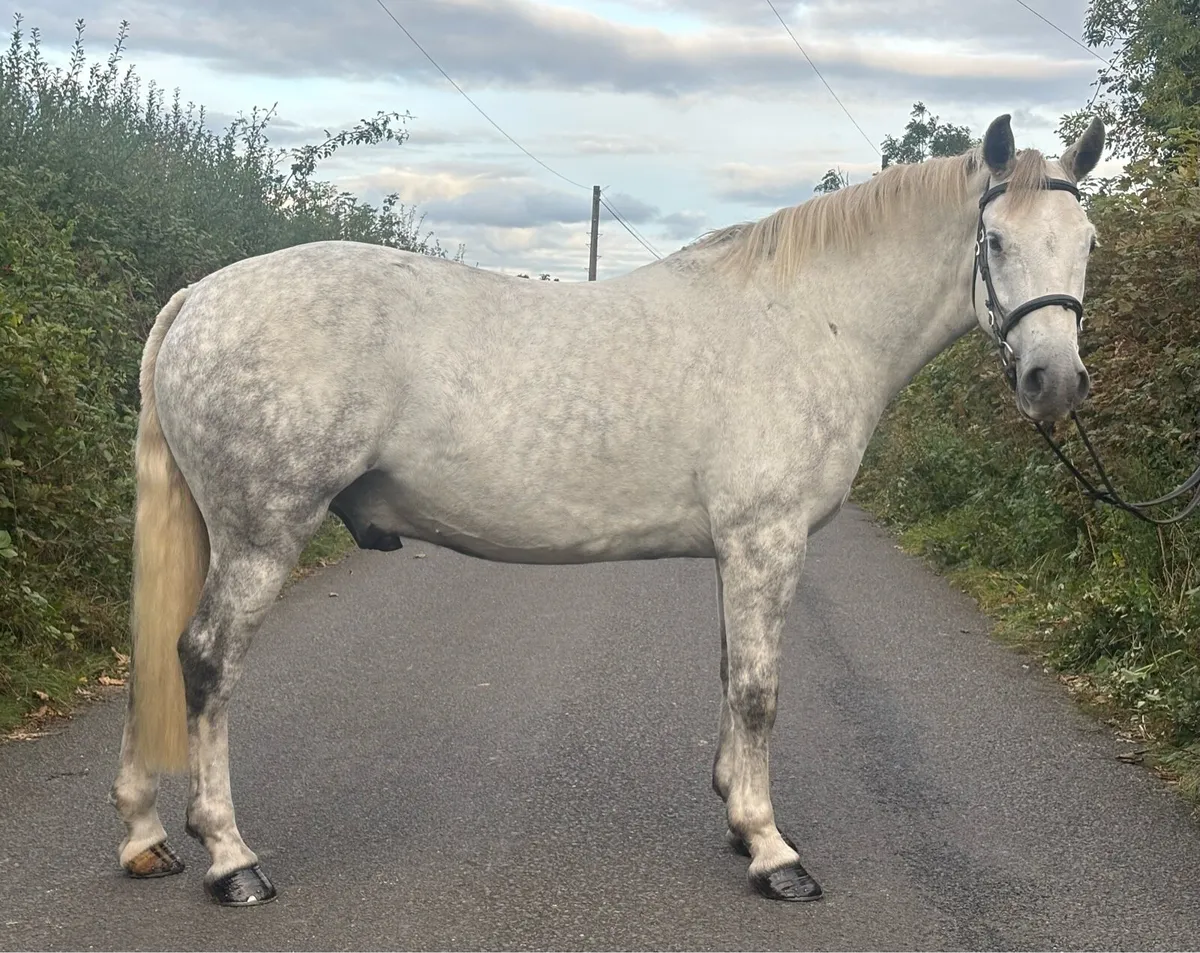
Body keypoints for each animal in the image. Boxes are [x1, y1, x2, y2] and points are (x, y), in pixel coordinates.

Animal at [111, 113, 1106, 906]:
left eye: (1088, 240)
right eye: (997, 241)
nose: (1052, 381)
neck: (809, 318)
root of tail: (199, 296)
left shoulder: (738, 549)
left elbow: (730, 675)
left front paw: (739, 820)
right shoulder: (767, 539)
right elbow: (759, 689)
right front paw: (773, 851)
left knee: (158, 657)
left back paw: (146, 839)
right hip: (260, 534)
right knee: (204, 661)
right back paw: (230, 859)